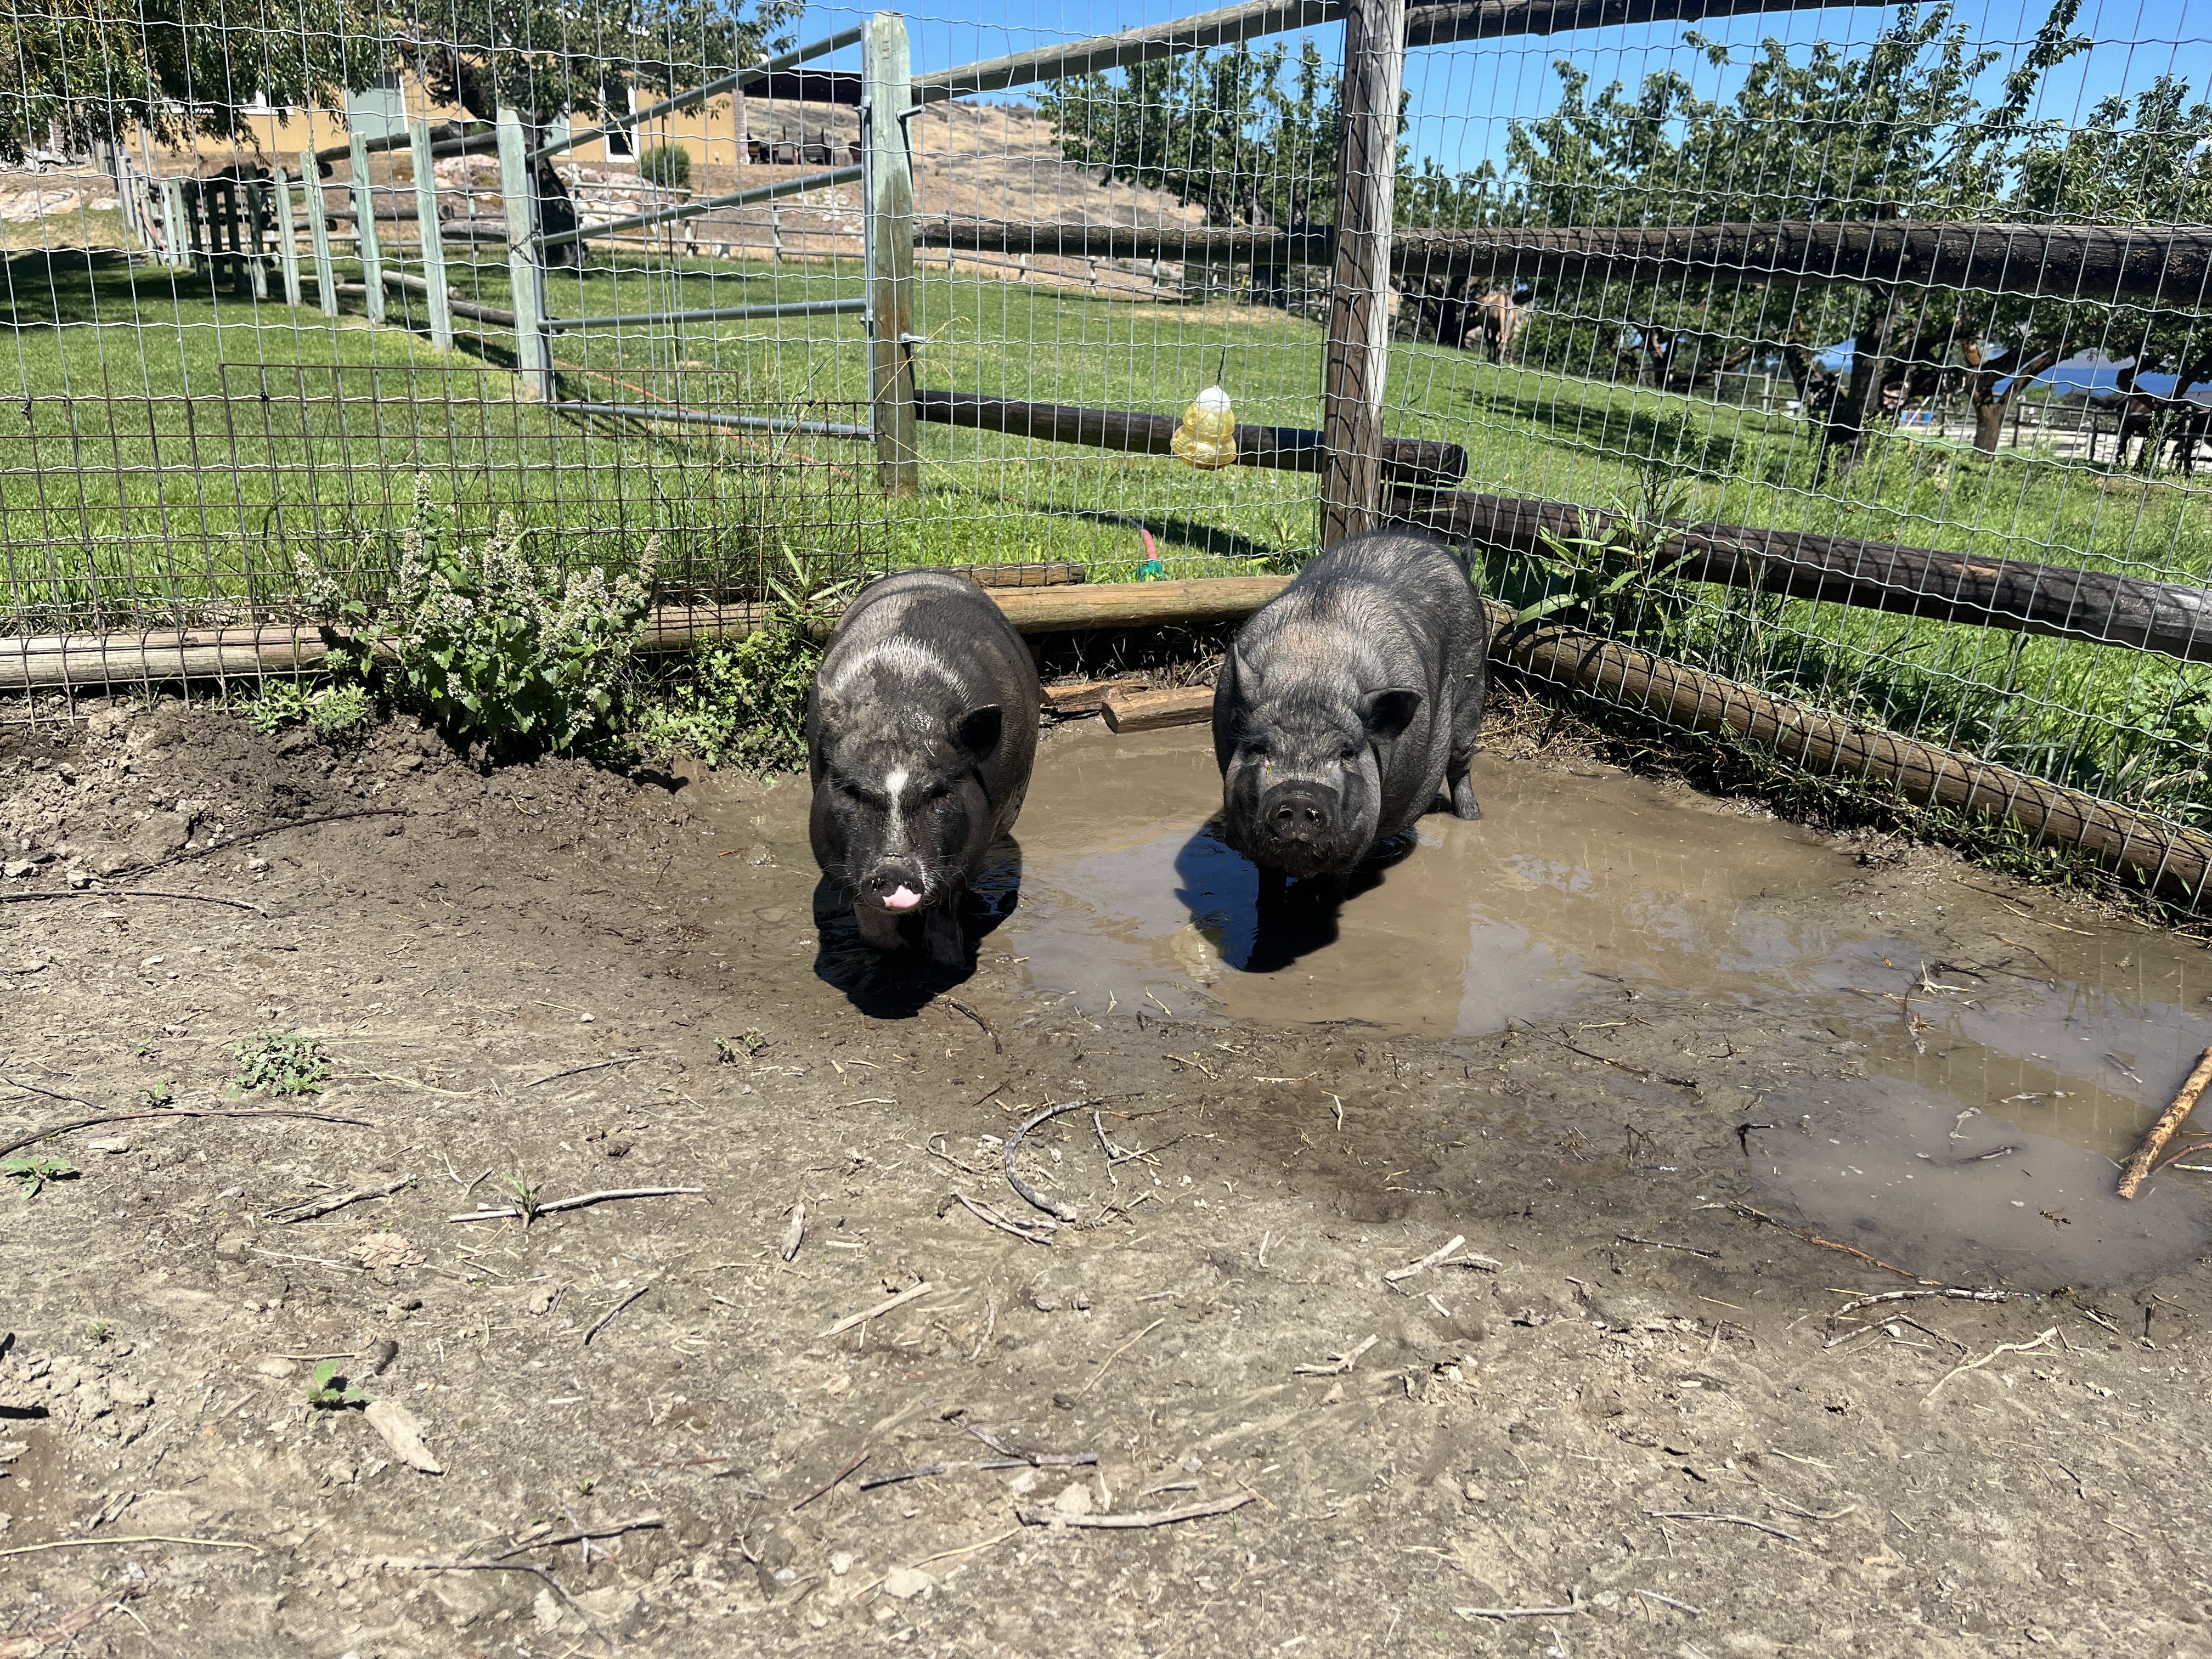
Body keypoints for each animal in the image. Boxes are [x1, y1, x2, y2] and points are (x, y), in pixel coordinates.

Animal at [1212, 533, 1486, 884]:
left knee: (1461, 766)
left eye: (1346, 753)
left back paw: (1472, 818)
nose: (1299, 797)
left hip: (1472, 696)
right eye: (1260, 748)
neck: (1313, 672)